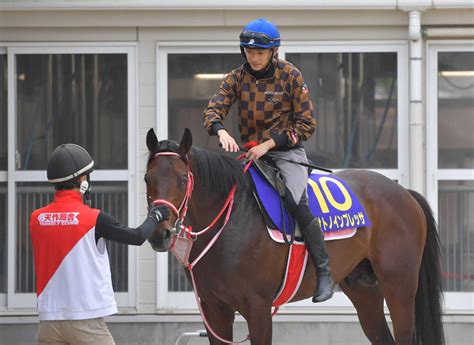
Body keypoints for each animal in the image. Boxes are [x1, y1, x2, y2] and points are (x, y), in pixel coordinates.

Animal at [144, 128, 444, 344]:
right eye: (148, 179)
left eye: (183, 179)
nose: (160, 234)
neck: (231, 221)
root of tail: (406, 193)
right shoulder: (215, 310)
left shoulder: (258, 307)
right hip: (364, 290)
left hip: (399, 288)